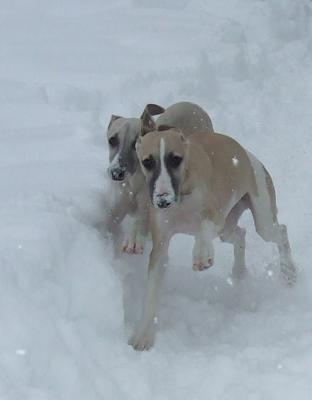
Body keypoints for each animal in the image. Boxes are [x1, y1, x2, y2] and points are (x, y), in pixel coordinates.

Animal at [106, 102, 213, 253]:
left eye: (135, 143)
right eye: (112, 140)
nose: (117, 173)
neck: (134, 183)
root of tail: (192, 104)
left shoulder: (151, 209)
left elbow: (143, 220)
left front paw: (134, 236)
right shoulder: (116, 209)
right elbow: (110, 226)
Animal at [131, 126, 298, 350]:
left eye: (176, 159)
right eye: (147, 161)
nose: (163, 200)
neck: (182, 194)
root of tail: (247, 153)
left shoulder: (215, 216)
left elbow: (203, 228)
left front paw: (201, 255)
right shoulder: (160, 246)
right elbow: (150, 292)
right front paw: (143, 335)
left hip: (261, 220)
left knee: (281, 231)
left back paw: (289, 273)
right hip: (227, 228)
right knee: (240, 234)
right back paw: (239, 273)